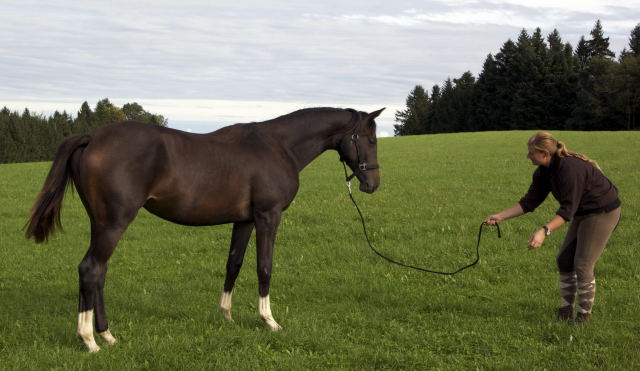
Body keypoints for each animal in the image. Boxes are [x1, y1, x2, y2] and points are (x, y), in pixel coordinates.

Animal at [27, 107, 382, 352]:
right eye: (369, 139)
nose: (373, 183)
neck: (278, 146)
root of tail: (91, 136)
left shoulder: (245, 220)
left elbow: (234, 264)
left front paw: (226, 315)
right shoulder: (268, 217)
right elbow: (264, 267)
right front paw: (269, 320)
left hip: (100, 223)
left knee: (97, 273)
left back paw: (106, 335)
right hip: (114, 223)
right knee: (91, 269)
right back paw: (89, 339)